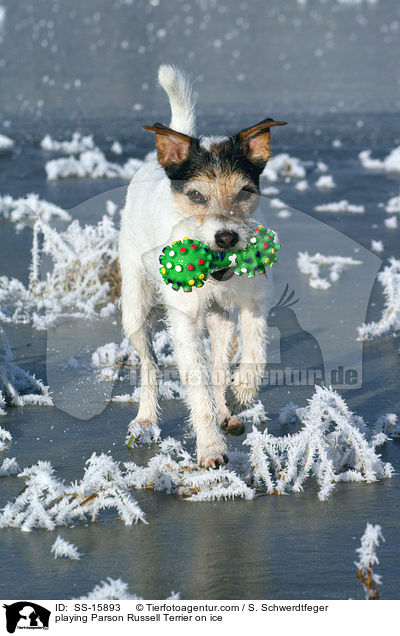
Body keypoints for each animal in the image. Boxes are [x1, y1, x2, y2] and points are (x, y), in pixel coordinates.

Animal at [119, 67, 284, 470]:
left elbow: (254, 353)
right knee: (149, 365)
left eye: (244, 192)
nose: (226, 237)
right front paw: (210, 447)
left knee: (220, 362)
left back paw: (227, 408)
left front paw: (241, 394)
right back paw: (145, 418)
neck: (218, 268)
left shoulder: (254, 303)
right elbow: (196, 383)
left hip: (220, 318)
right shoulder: (184, 320)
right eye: (195, 195)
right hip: (135, 307)